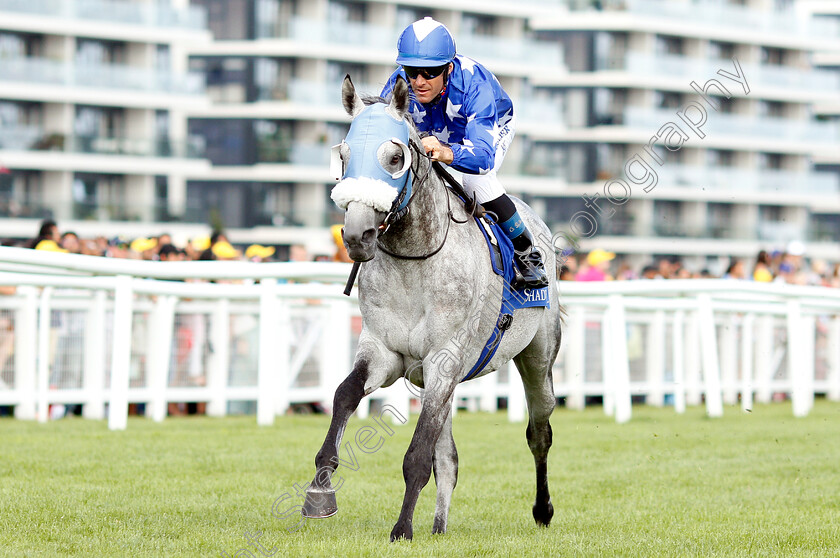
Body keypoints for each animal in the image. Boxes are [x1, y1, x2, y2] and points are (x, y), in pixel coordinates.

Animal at [302, 75, 564, 544]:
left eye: (394, 157)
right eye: (344, 156)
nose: (357, 235)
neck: (414, 260)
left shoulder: (444, 357)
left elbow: (417, 456)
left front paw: (402, 529)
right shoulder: (386, 352)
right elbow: (344, 395)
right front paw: (320, 490)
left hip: (538, 357)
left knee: (539, 431)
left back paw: (542, 509)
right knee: (450, 458)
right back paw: (440, 527)